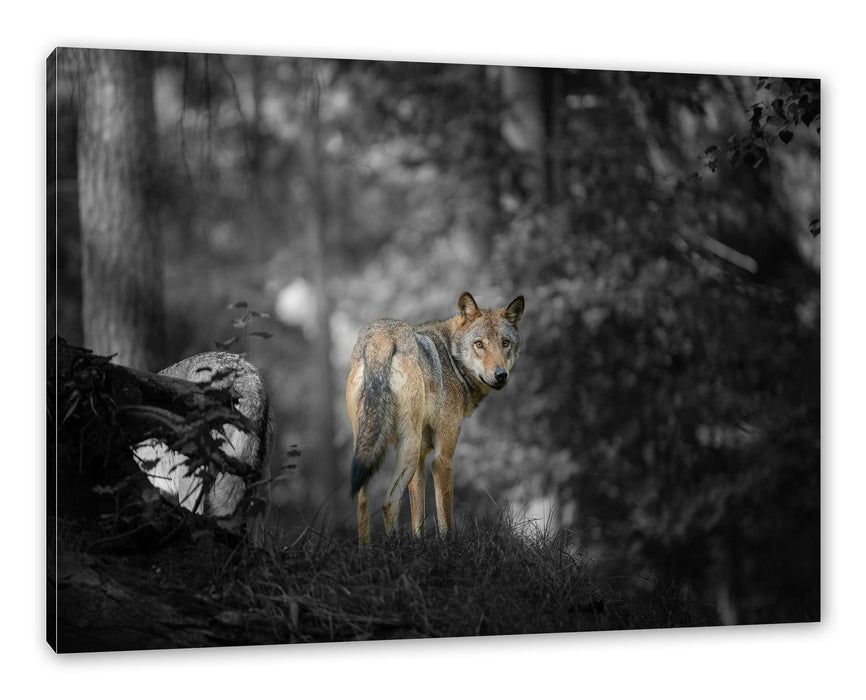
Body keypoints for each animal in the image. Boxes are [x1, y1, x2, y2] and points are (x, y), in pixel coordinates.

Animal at [346, 291, 525, 546]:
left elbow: (418, 518)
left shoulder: (421, 461)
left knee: (362, 503)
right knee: (388, 502)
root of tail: (382, 337)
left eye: (505, 343)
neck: (452, 359)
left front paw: (419, 545)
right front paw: (447, 547)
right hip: (407, 450)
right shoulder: (442, 458)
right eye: (479, 344)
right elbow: (444, 517)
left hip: (367, 450)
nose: (500, 375)